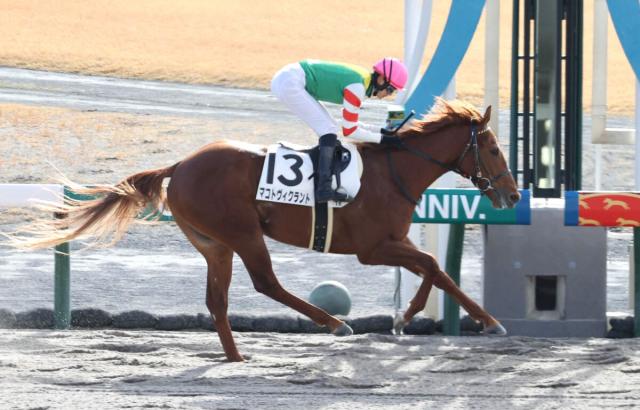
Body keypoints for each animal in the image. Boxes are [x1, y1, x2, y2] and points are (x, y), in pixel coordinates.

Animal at [16, 99, 520, 362]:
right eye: (495, 149)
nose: (513, 195)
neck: (394, 172)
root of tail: (181, 165)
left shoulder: (393, 242)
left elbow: (438, 270)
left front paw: (458, 319)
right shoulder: (374, 247)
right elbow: (434, 265)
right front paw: (419, 317)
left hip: (214, 244)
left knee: (217, 301)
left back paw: (236, 357)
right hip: (242, 233)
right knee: (266, 283)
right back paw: (334, 323)